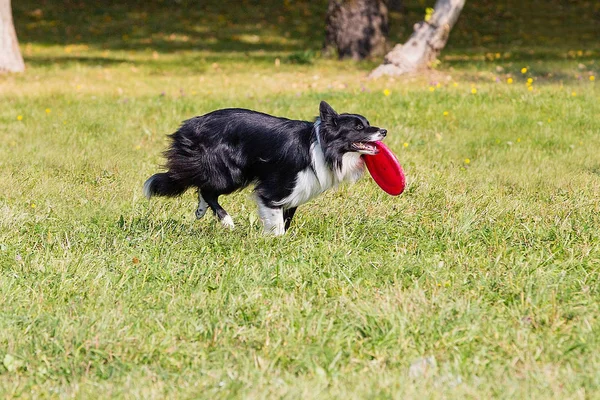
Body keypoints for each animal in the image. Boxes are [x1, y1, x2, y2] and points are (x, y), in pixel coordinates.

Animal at [145, 100, 390, 236]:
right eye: (358, 128)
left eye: (367, 124)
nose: (384, 131)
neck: (323, 146)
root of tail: (189, 126)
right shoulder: (275, 188)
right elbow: (276, 217)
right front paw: (275, 239)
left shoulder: (297, 190)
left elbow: (287, 216)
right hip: (231, 172)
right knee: (207, 190)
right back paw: (227, 222)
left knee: (204, 188)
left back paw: (201, 210)